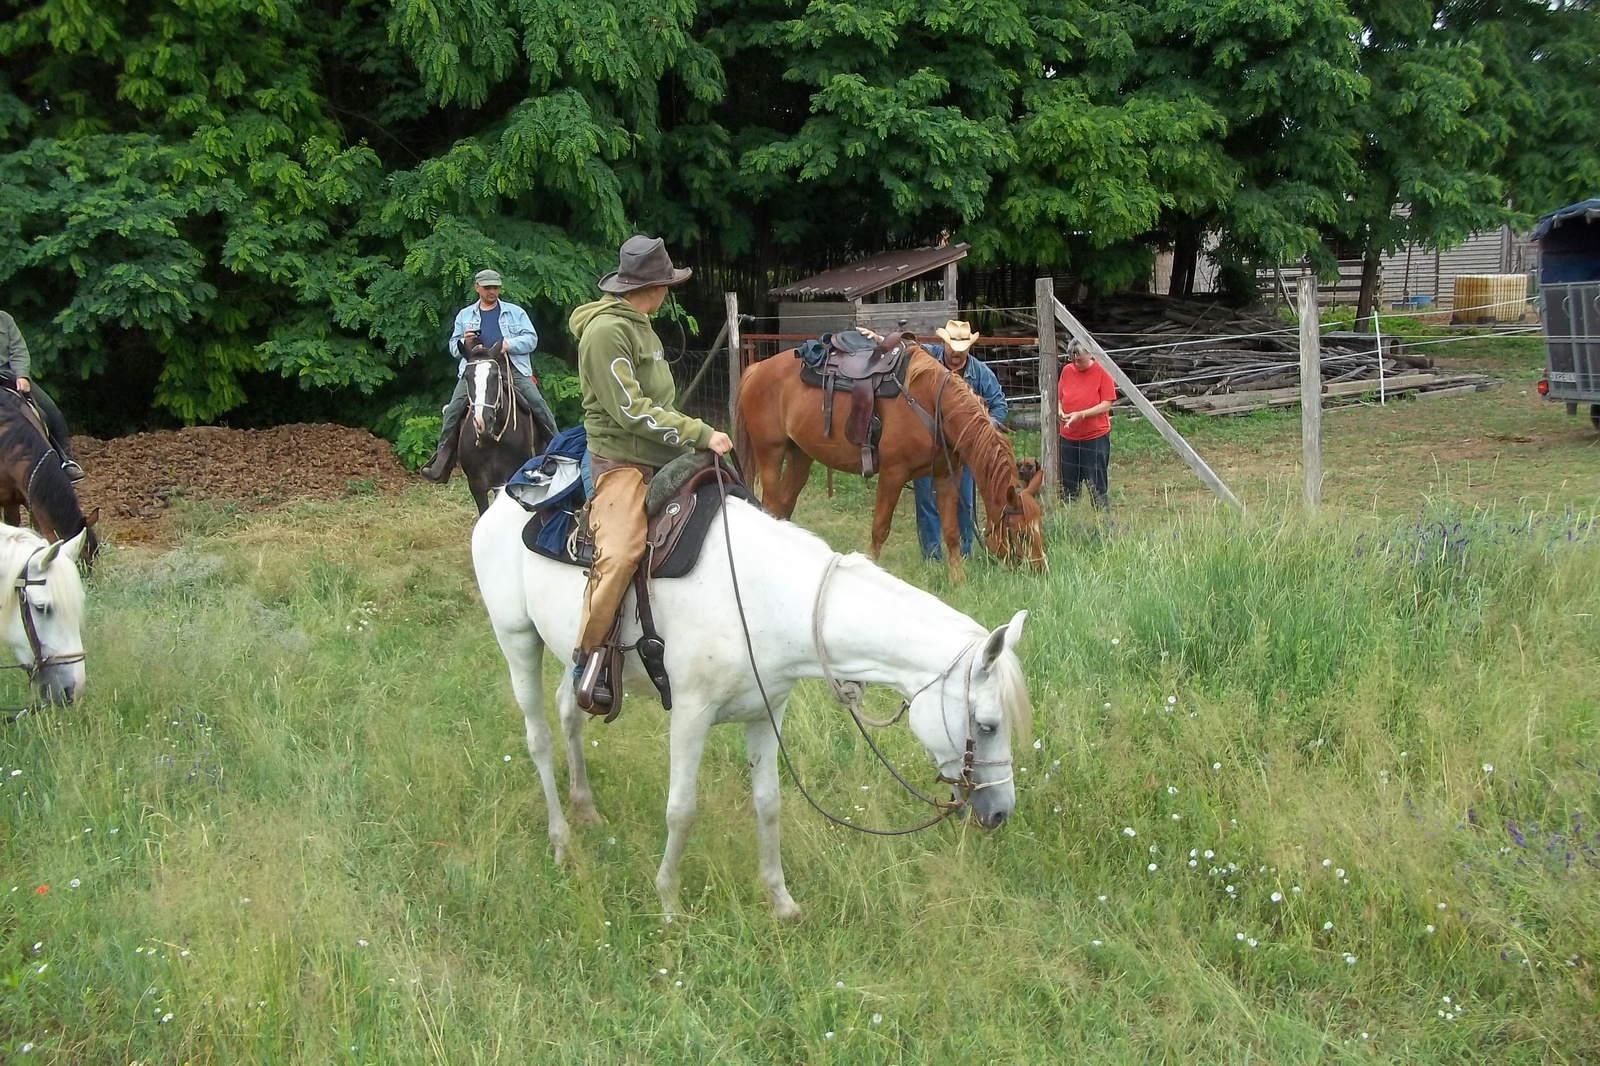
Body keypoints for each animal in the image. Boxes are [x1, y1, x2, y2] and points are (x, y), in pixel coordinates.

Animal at [467, 486, 1030, 915]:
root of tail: (500, 503)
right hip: (516, 639)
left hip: (579, 654)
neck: (764, 599)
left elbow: (768, 803)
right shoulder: (690, 715)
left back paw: (585, 809)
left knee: (570, 712)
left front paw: (780, 901)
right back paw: (562, 840)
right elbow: (681, 810)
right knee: (538, 737)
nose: (1002, 812)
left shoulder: (764, 713)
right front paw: (668, 901)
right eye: (986, 724)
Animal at [732, 332, 1043, 582]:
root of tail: (758, 368)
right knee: (771, 505)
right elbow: (880, 528)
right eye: (1022, 533)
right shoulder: (893, 474)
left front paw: (959, 583)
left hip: (801, 456)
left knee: (784, 506)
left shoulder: (945, 477)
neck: (933, 404)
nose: (1040, 569)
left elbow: (951, 532)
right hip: (770, 453)